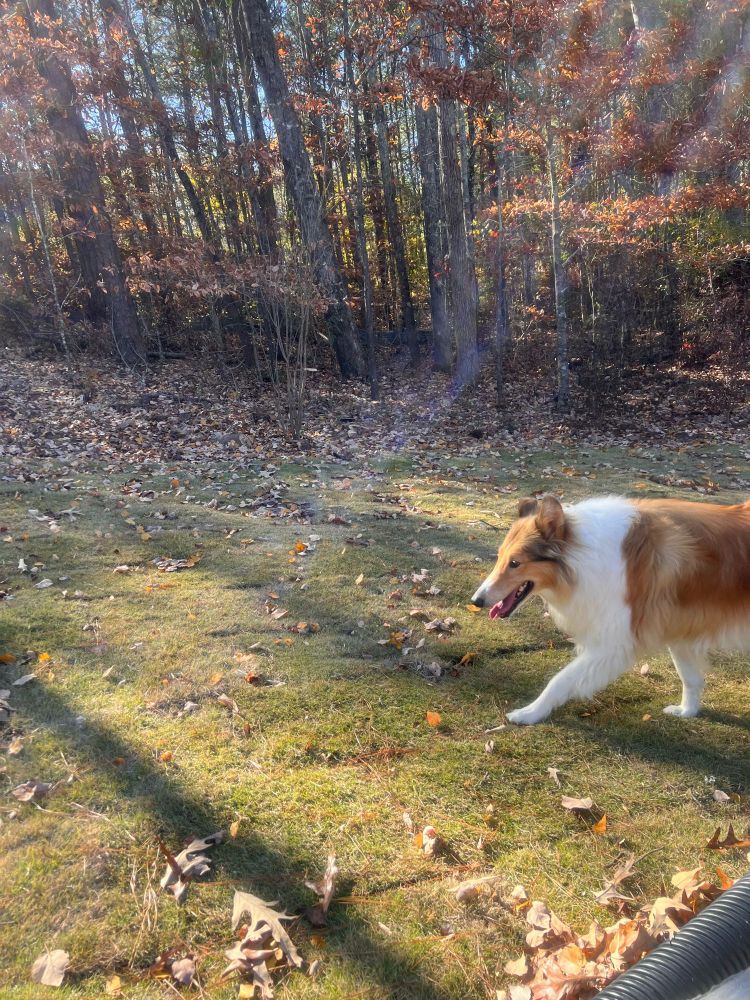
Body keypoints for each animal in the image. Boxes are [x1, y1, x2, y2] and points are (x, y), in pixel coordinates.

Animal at [471, 494, 750, 724]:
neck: (582, 556)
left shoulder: (614, 642)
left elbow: (561, 679)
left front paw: (529, 713)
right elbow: (690, 677)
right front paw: (687, 711)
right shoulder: (679, 629)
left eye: (515, 563)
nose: (476, 601)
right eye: (500, 557)